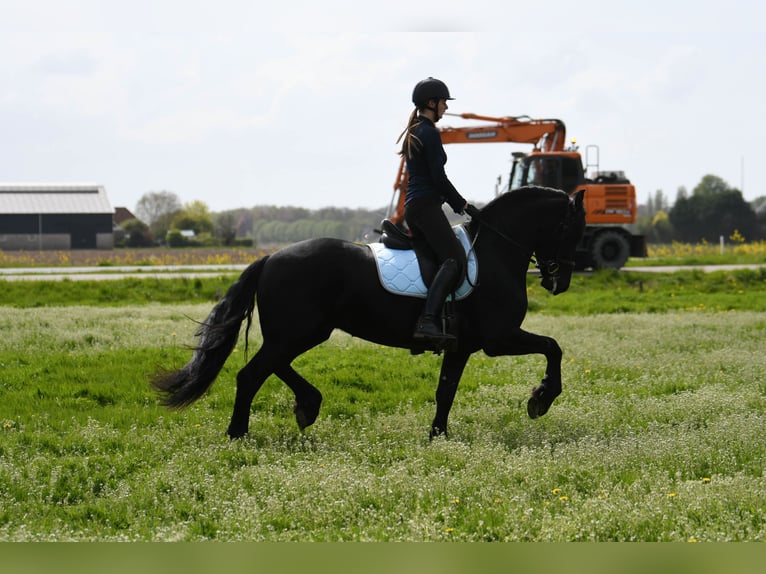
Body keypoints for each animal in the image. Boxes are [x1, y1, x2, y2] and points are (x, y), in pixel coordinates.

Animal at [152, 186, 586, 440]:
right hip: (299, 331)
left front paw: (438, 436)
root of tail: (271, 257)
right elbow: (554, 347)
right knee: (252, 374)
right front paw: (541, 399)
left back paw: (306, 405)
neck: (495, 250)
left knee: (271, 367)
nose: (560, 281)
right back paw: (239, 433)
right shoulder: (499, 338)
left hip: (301, 332)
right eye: (573, 228)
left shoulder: (462, 347)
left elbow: (445, 390)